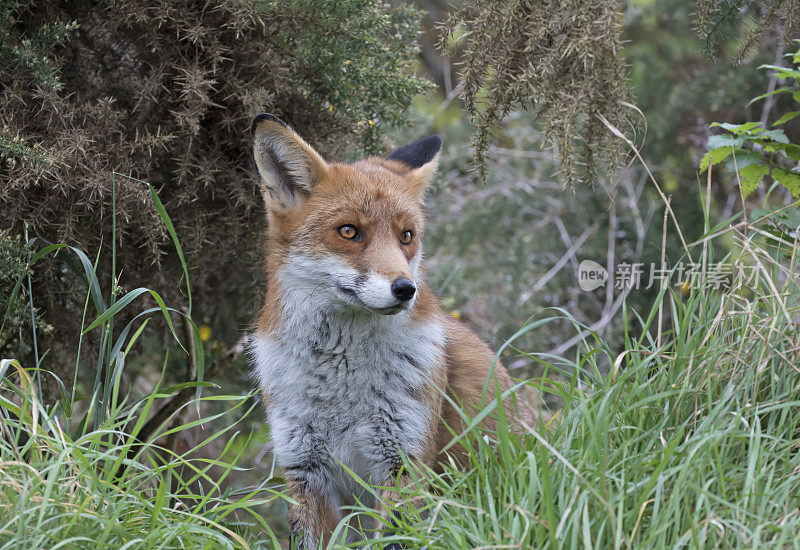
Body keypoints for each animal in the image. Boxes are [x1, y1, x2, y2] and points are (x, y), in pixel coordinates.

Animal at [250, 114, 536, 548]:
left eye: (406, 236)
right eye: (348, 231)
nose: (405, 288)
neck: (340, 384)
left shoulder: (403, 462)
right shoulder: (306, 471)